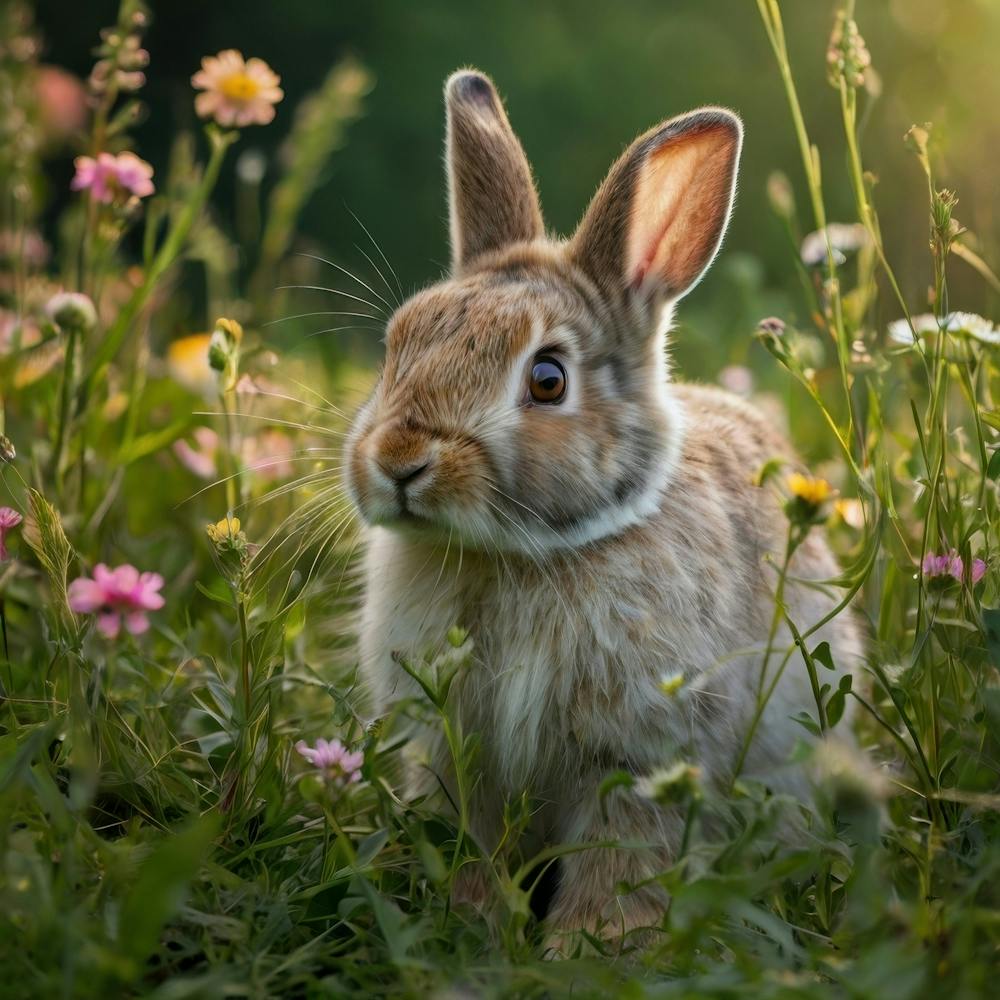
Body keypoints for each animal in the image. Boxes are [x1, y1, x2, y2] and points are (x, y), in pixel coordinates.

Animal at [343, 69, 861, 949]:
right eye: (395, 346)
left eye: (548, 379)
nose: (399, 461)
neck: (524, 555)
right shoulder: (461, 755)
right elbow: (475, 843)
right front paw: (474, 924)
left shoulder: (637, 755)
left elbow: (621, 856)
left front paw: (595, 945)